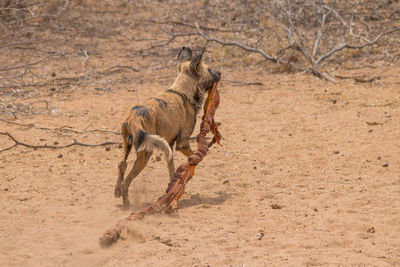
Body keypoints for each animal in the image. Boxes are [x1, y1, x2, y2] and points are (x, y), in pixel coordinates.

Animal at [114, 47, 222, 208]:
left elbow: (172, 171)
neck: (183, 91)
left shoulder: (169, 146)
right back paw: (127, 204)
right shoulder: (182, 143)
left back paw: (117, 192)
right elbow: (193, 160)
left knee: (122, 164)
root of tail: (133, 117)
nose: (220, 73)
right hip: (146, 153)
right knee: (127, 181)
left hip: (128, 145)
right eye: (209, 70)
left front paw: (172, 190)